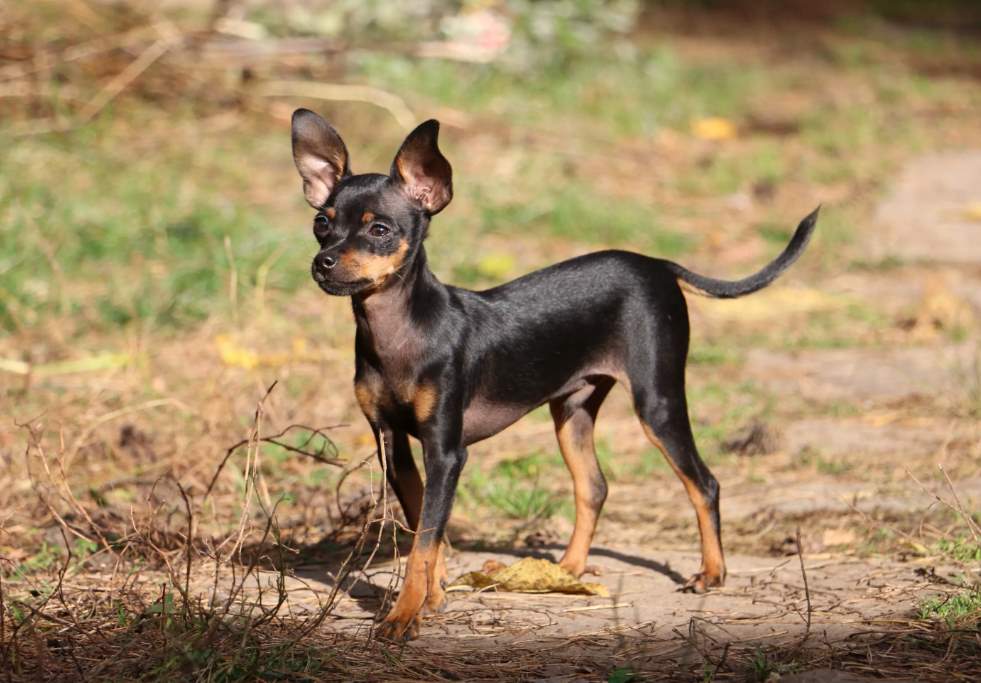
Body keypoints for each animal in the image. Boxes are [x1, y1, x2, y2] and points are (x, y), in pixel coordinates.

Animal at [290, 108, 818, 640]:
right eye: (321, 223)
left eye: (379, 230)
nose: (322, 262)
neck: (403, 331)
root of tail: (656, 265)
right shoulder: (393, 445)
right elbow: (426, 529)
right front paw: (432, 598)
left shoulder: (445, 450)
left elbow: (424, 541)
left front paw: (404, 615)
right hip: (573, 409)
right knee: (594, 487)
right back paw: (567, 571)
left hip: (657, 402)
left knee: (704, 483)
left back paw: (710, 573)